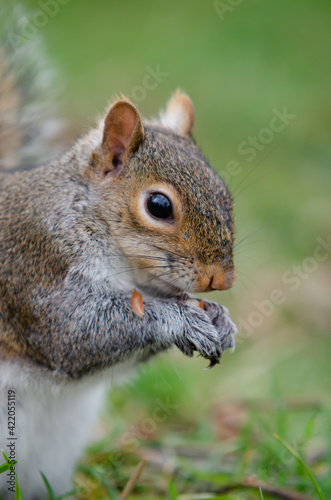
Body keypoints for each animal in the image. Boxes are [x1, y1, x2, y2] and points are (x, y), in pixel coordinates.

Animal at [1, 4, 237, 500]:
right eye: (159, 205)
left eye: (225, 194)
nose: (221, 280)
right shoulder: (38, 265)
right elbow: (76, 333)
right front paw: (181, 319)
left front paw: (221, 320)